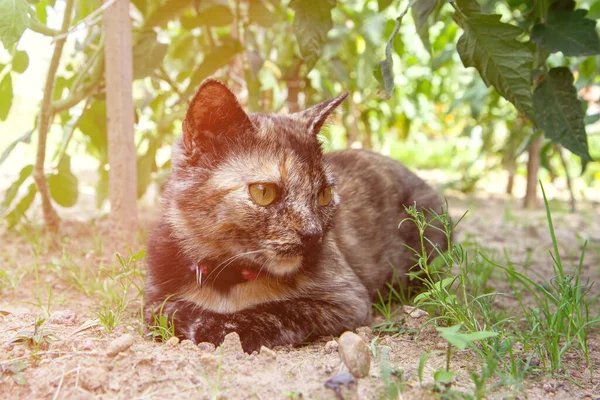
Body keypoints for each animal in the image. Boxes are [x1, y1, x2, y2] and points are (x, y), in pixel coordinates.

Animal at [144, 79, 446, 354]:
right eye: (263, 192)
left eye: (324, 194)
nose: (313, 234)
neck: (227, 280)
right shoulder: (152, 296)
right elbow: (168, 310)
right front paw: (202, 318)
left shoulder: (348, 298)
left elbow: (283, 308)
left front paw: (228, 326)